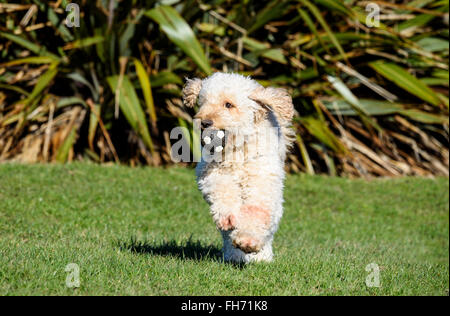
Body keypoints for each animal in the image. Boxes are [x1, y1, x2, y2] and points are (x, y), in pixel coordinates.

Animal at [183, 73, 296, 262]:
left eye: (228, 104)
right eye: (203, 101)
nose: (204, 122)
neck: (236, 149)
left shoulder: (262, 181)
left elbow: (256, 210)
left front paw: (248, 240)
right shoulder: (211, 173)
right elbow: (222, 191)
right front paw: (228, 217)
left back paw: (261, 256)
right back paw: (234, 254)